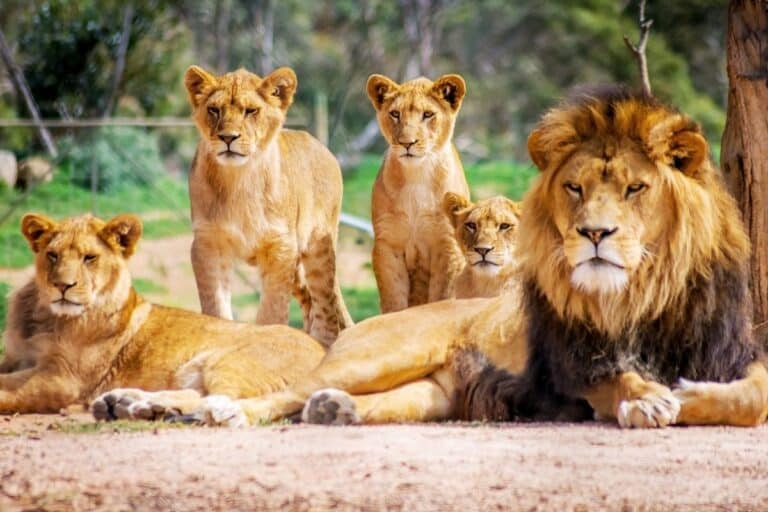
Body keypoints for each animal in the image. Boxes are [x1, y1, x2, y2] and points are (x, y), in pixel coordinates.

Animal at [0, 213, 324, 419]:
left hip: (231, 362)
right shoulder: (16, 358)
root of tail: (323, 350)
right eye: (52, 255)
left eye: (89, 258)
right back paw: (130, 404)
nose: (62, 286)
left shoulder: (63, 378)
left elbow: (9, 390)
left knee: (222, 398)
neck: (46, 316)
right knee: (199, 394)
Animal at [186, 65, 351, 346]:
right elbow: (215, 305)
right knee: (309, 299)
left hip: (318, 246)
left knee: (325, 303)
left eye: (251, 111)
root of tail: (322, 146)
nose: (227, 137)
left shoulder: (280, 247)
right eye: (214, 110)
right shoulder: (208, 244)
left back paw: (322, 343)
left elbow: (272, 310)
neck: (238, 180)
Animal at [367, 73, 470, 313]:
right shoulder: (388, 244)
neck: (416, 175)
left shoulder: (447, 245)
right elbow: (393, 299)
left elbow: (442, 295)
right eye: (395, 114)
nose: (407, 143)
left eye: (428, 114)